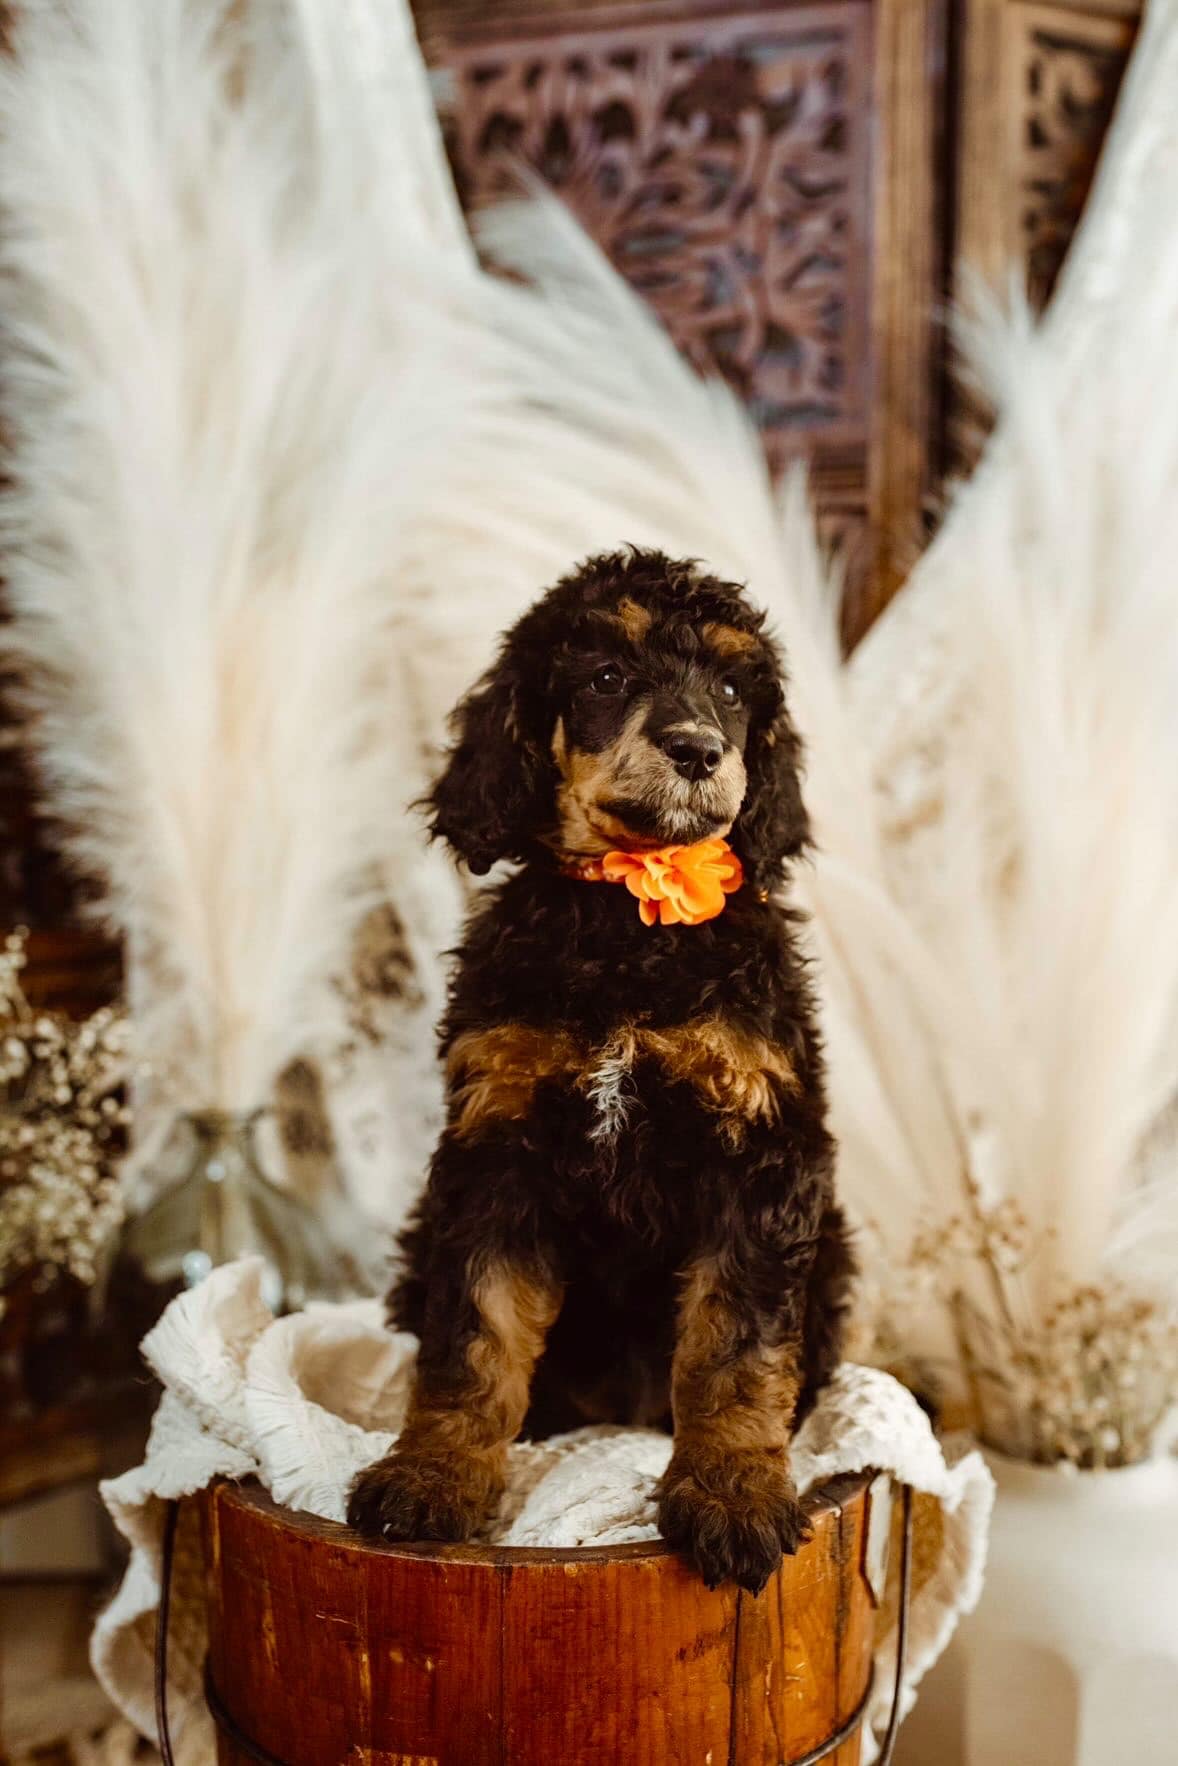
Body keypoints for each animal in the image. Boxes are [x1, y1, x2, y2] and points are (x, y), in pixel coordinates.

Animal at [346, 547, 851, 1589]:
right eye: (607, 676)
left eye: (734, 689)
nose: (697, 748)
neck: (628, 921)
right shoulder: (494, 1150)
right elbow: (473, 1333)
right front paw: (432, 1475)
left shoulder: (763, 1153)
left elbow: (735, 1345)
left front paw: (732, 1492)